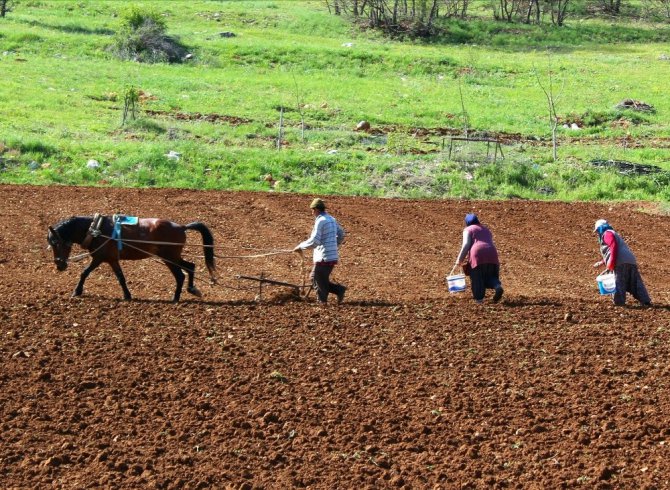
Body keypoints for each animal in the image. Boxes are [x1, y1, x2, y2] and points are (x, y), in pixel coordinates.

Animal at [47, 215, 218, 302]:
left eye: (56, 243)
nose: (59, 265)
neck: (96, 230)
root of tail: (181, 227)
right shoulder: (112, 260)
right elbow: (121, 278)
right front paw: (127, 295)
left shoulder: (99, 258)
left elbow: (84, 272)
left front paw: (77, 291)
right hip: (172, 257)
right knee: (190, 266)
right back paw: (192, 289)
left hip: (169, 257)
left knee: (180, 275)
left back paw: (175, 298)